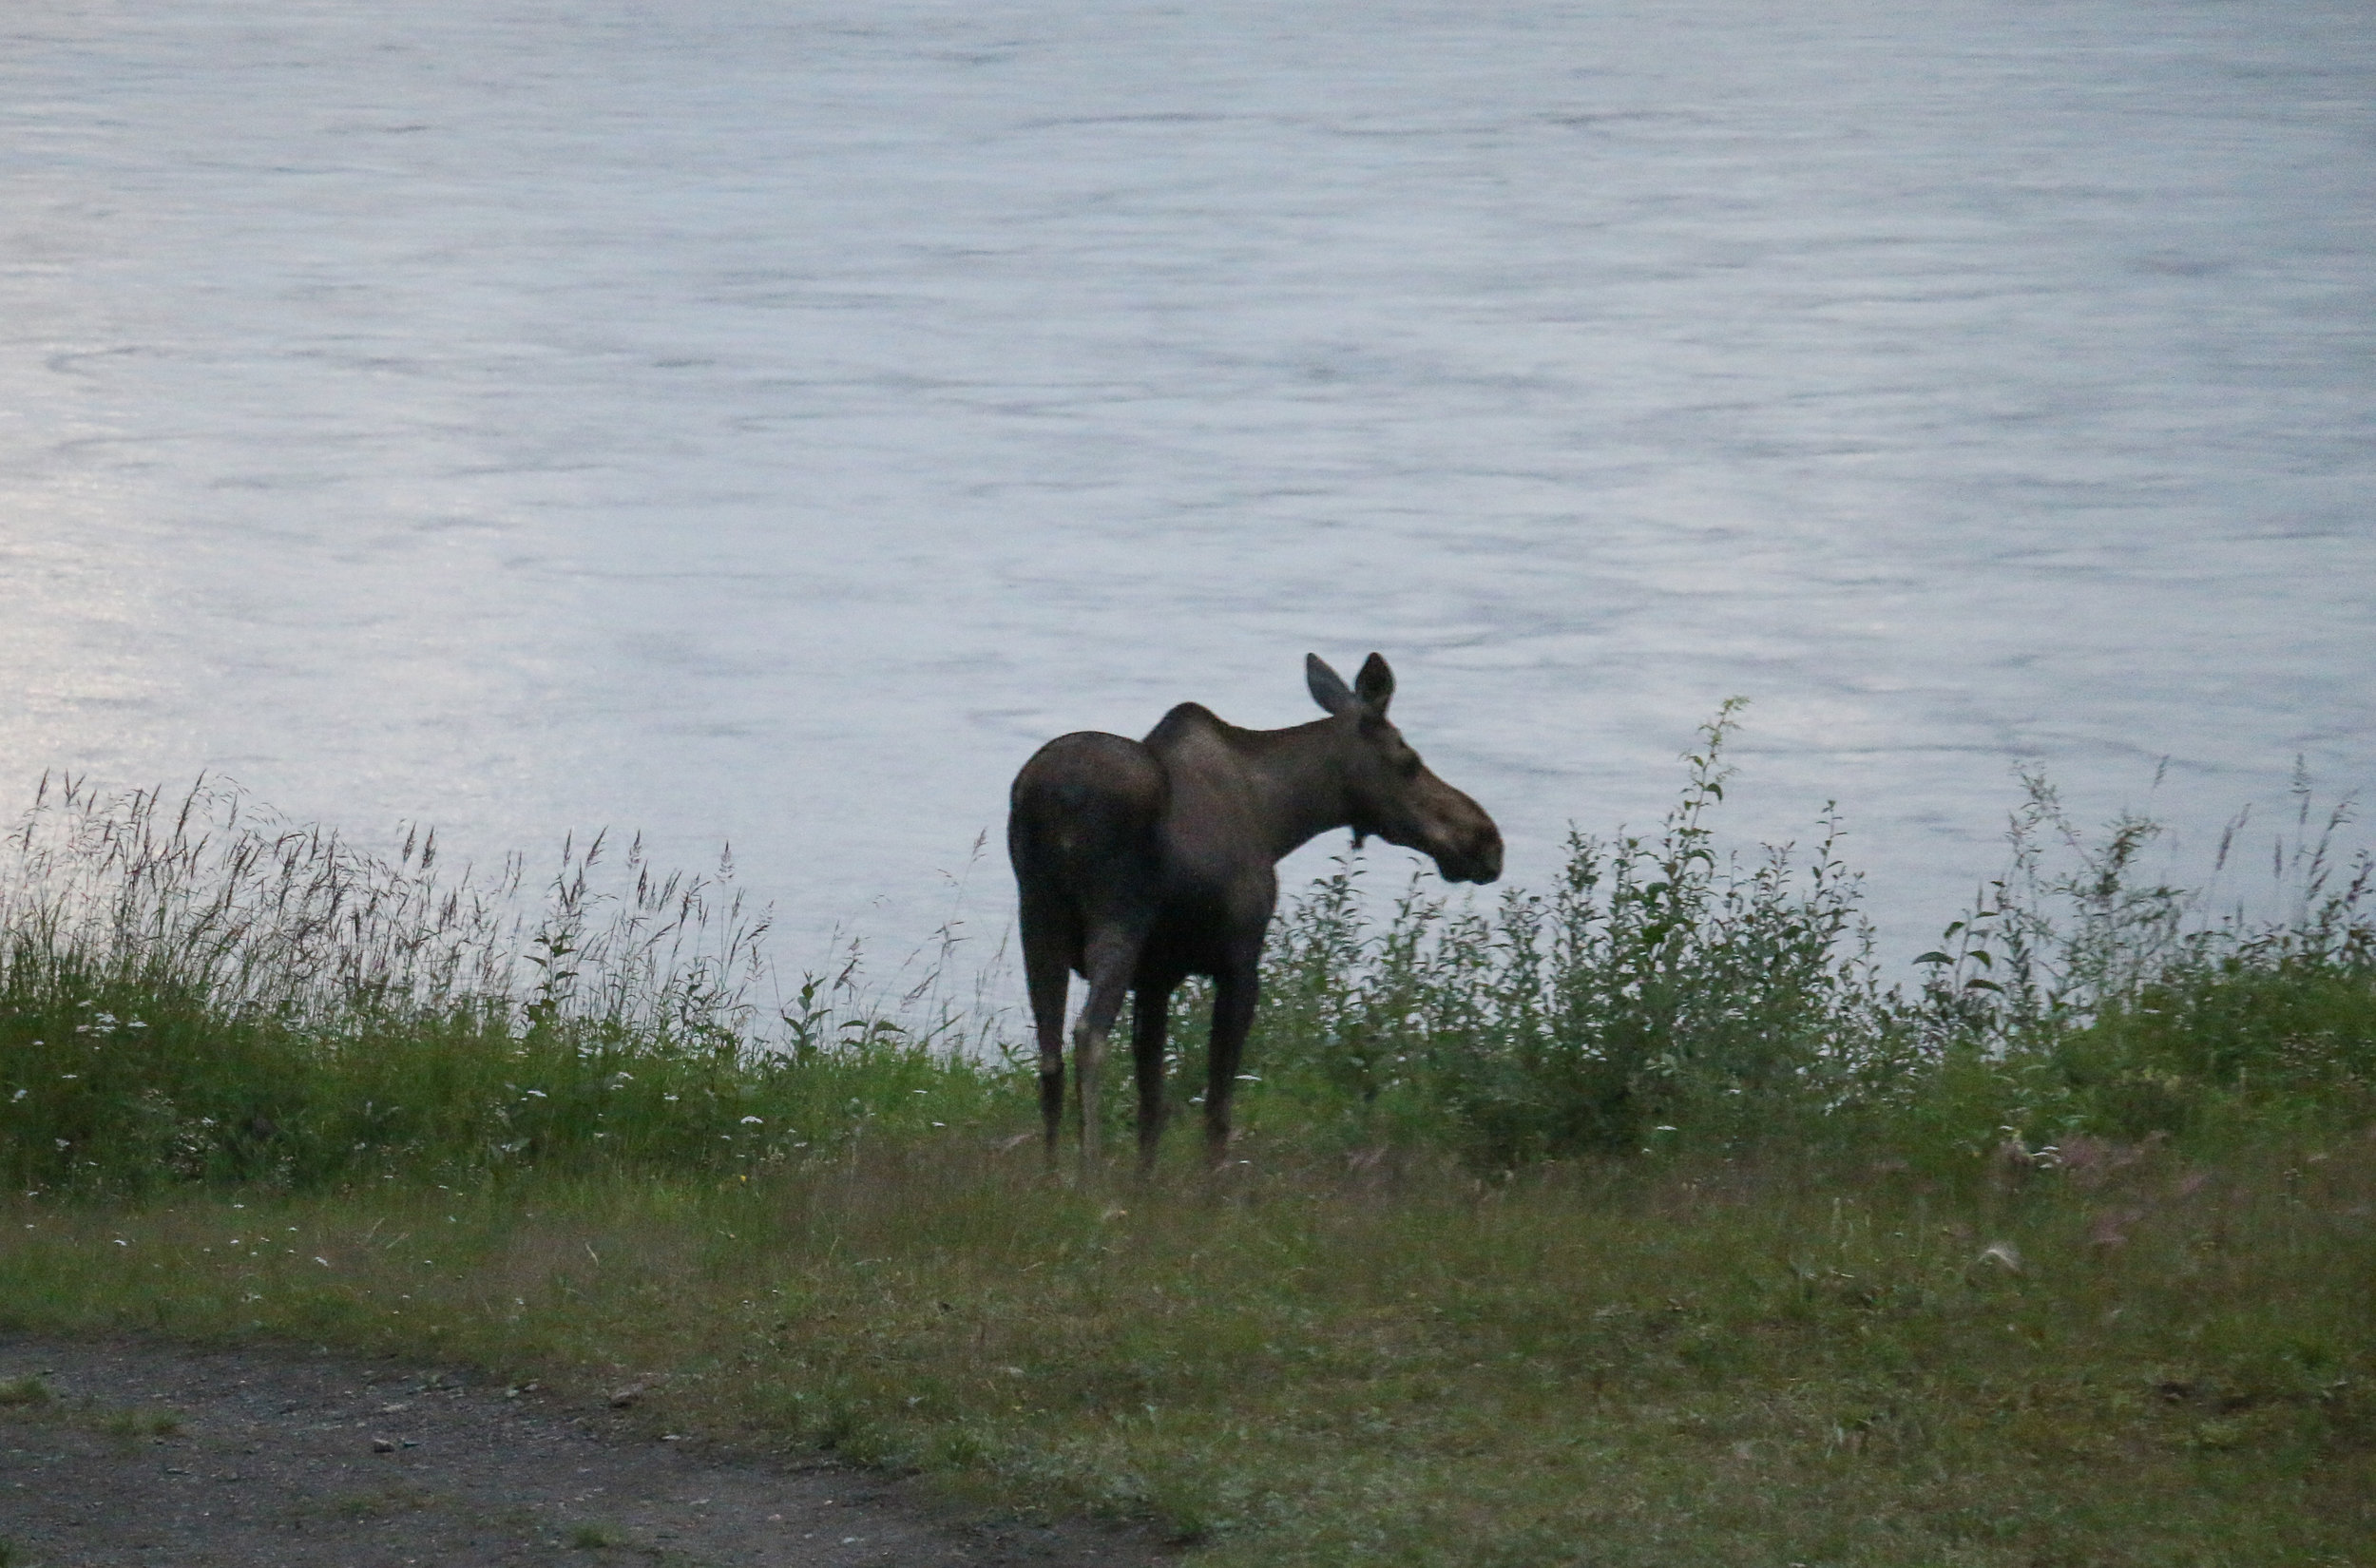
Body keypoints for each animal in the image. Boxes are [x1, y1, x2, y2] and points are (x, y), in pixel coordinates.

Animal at [1007, 651, 1502, 1178]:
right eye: (1408, 761)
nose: (1486, 840)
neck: (1279, 817)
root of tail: (1054, 799)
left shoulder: (1158, 977)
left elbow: (1151, 1107)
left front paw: (1145, 1188)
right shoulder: (1239, 962)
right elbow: (1217, 1109)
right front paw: (1209, 1189)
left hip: (1036, 917)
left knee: (1049, 1055)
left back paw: (1051, 1178)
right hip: (1117, 917)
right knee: (1089, 1035)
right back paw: (1089, 1175)